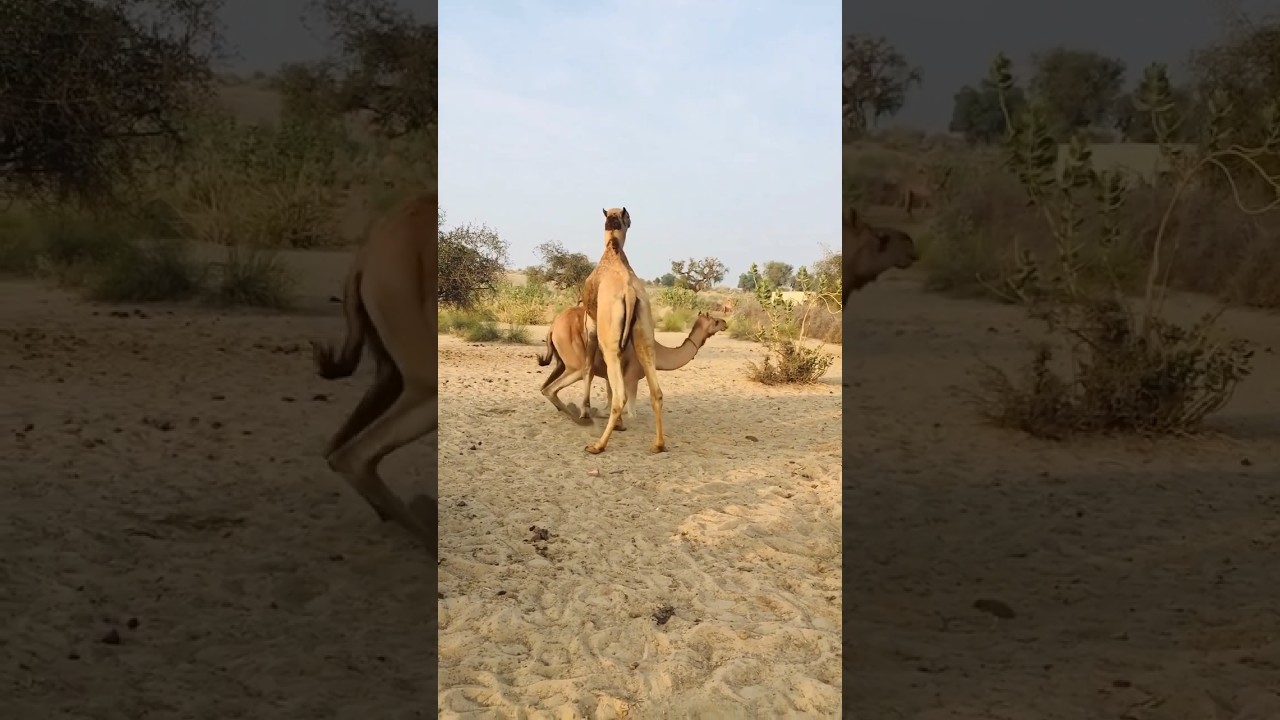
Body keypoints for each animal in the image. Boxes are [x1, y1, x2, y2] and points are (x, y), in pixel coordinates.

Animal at [537, 307, 726, 429]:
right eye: (716, 321)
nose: (725, 323)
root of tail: (553, 327)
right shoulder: (632, 377)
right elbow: (631, 412)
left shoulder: (612, 376)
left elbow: (610, 399)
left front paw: (607, 416)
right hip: (575, 366)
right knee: (551, 389)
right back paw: (581, 418)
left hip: (561, 363)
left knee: (545, 386)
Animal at [578, 207, 665, 455]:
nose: (631, 220)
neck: (612, 250)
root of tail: (630, 292)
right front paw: (621, 425)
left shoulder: (592, 328)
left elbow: (588, 368)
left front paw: (585, 411)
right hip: (644, 336)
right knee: (656, 391)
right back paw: (658, 444)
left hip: (609, 341)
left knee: (620, 395)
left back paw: (597, 445)